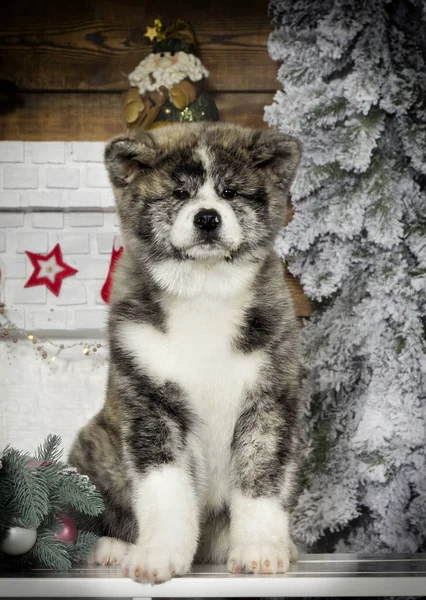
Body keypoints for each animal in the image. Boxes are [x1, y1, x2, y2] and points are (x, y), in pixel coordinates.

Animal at [69, 123, 302, 584]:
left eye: (230, 192)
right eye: (179, 193)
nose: (207, 217)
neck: (204, 292)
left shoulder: (268, 400)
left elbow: (259, 483)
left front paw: (261, 548)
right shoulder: (150, 402)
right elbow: (166, 490)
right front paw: (159, 554)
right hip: (94, 445)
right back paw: (112, 548)